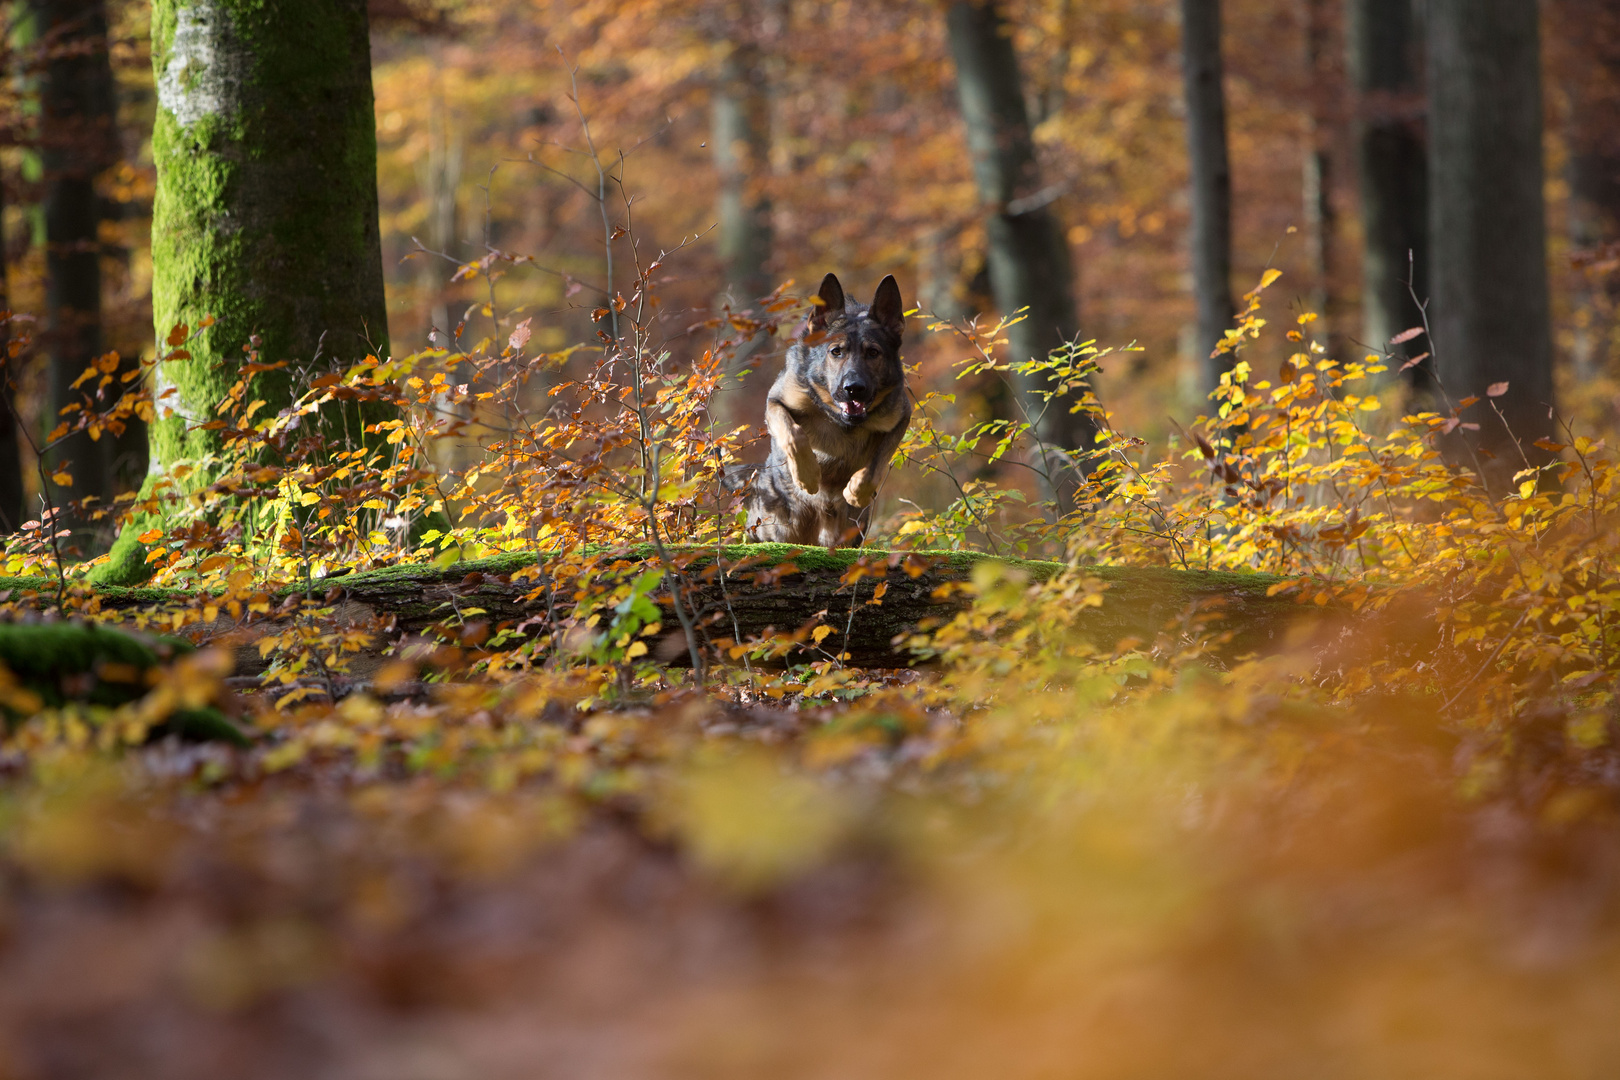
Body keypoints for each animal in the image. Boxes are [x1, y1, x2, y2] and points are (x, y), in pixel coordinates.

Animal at [745, 275, 913, 544]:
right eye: (836, 351)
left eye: (873, 352)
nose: (854, 388)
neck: (839, 419)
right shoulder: (776, 400)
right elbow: (793, 434)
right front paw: (808, 475)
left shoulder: (900, 416)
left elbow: (877, 462)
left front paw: (857, 491)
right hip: (779, 527)